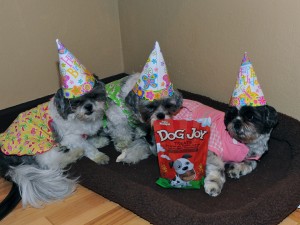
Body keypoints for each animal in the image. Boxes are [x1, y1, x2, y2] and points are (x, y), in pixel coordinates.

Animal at [0, 74, 108, 219]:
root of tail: (6, 164)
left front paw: (100, 141)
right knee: (52, 163)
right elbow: (87, 146)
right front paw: (99, 156)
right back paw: (75, 153)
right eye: (76, 102)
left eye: (94, 95)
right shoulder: (71, 138)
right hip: (40, 148)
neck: (79, 118)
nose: (89, 107)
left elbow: (90, 140)